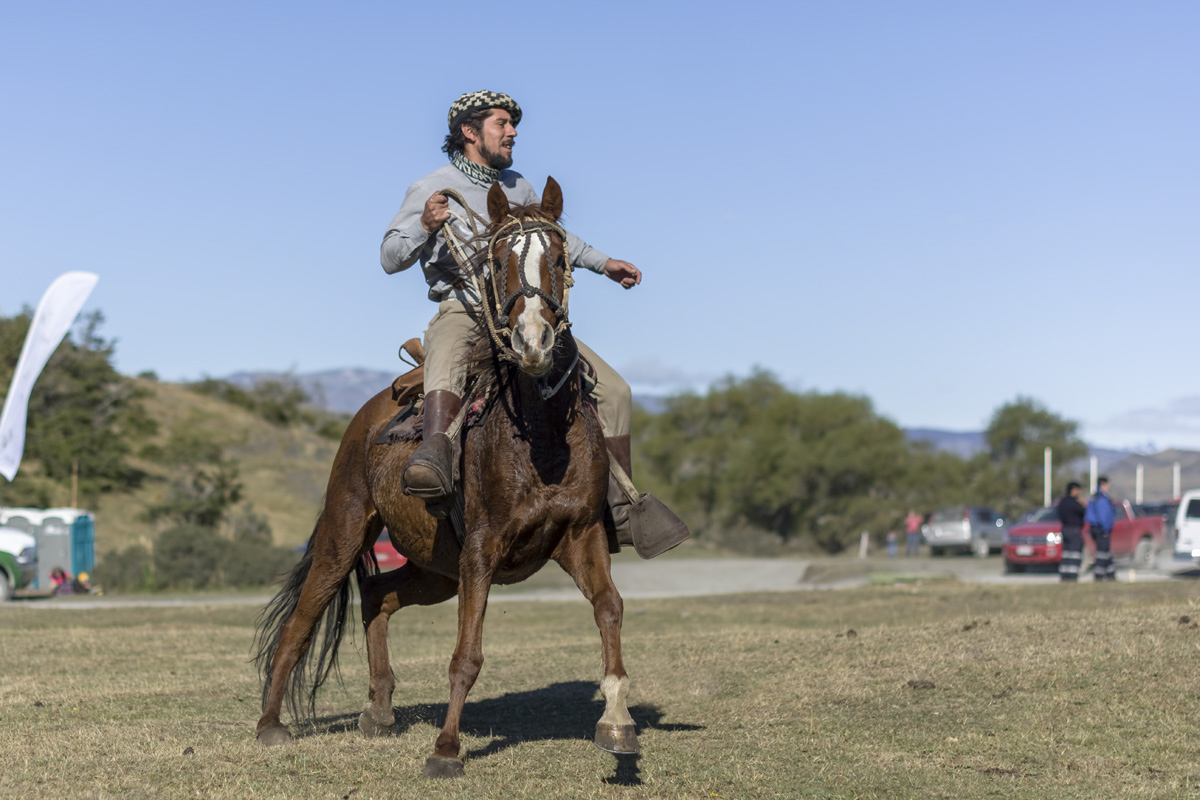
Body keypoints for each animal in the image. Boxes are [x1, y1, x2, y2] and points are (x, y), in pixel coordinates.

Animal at [249, 178, 638, 777]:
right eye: (497, 260)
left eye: (559, 257)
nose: (533, 341)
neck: (541, 437)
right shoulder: (481, 549)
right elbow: (466, 655)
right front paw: (447, 749)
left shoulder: (581, 534)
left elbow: (609, 609)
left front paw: (617, 721)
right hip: (346, 535)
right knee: (301, 620)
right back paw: (272, 725)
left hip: (436, 568)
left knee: (378, 595)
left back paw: (379, 708)